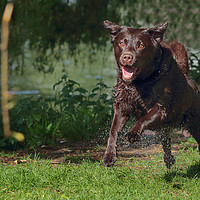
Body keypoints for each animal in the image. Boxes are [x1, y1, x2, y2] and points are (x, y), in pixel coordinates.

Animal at [103, 20, 200, 168]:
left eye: (141, 45)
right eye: (122, 43)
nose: (127, 57)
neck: (139, 82)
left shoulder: (161, 107)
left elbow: (144, 119)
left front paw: (133, 133)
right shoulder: (122, 106)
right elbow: (113, 130)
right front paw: (109, 156)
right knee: (166, 141)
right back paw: (169, 159)